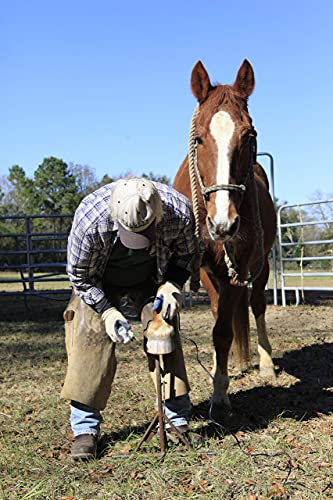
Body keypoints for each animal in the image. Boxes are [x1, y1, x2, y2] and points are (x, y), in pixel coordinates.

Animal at [172, 58, 276, 416]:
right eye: (199, 140)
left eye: (249, 135)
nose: (223, 224)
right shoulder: (200, 268)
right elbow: (220, 324)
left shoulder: (240, 268)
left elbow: (223, 333)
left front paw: (219, 395)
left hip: (261, 265)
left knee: (256, 305)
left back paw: (266, 363)